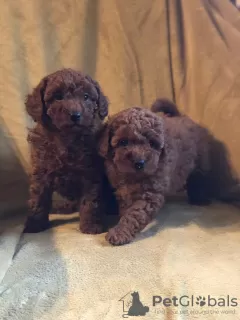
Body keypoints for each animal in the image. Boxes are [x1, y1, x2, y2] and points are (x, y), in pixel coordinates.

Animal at [23, 68, 109, 232]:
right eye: (58, 97)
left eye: (86, 97)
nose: (75, 115)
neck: (67, 138)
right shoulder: (41, 171)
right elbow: (39, 198)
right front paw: (35, 225)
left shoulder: (90, 173)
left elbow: (91, 200)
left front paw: (90, 226)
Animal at [99, 99, 212, 245]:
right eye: (123, 142)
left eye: (152, 144)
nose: (139, 162)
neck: (133, 176)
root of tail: (181, 117)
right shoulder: (124, 191)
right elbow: (127, 209)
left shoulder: (149, 194)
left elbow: (134, 214)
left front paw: (120, 232)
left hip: (201, 162)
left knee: (199, 179)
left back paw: (200, 199)